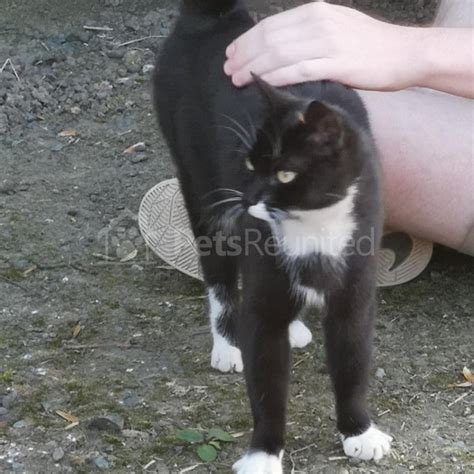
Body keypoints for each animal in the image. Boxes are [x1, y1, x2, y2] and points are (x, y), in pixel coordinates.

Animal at [155, 0, 392, 470]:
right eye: (249, 164)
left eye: (284, 173)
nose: (248, 199)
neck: (314, 226)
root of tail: (214, 20)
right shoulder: (262, 299)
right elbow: (266, 382)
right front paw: (263, 454)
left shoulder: (355, 290)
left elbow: (353, 362)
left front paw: (359, 430)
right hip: (198, 183)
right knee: (219, 275)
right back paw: (228, 342)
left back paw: (296, 326)